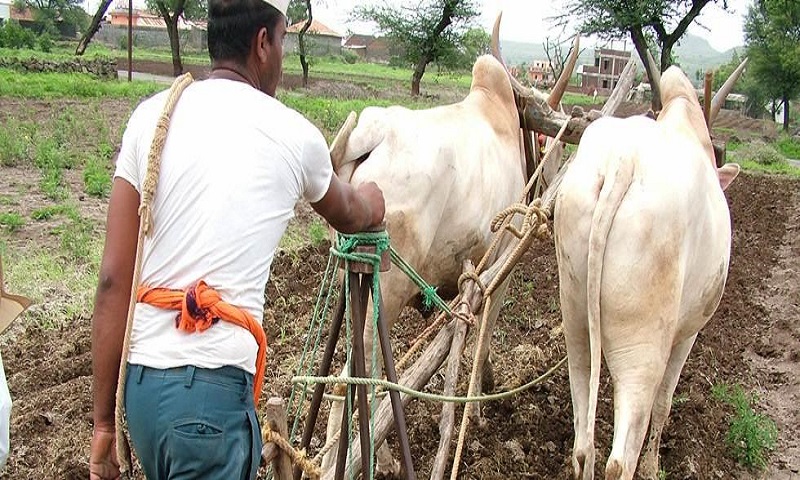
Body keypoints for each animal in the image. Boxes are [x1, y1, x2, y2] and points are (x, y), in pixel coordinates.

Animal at [556, 63, 744, 480]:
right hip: (643, 349)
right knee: (619, 458)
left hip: (576, 321)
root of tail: (623, 160)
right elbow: (665, 402)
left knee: (583, 443)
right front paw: (654, 464)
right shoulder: (687, 333)